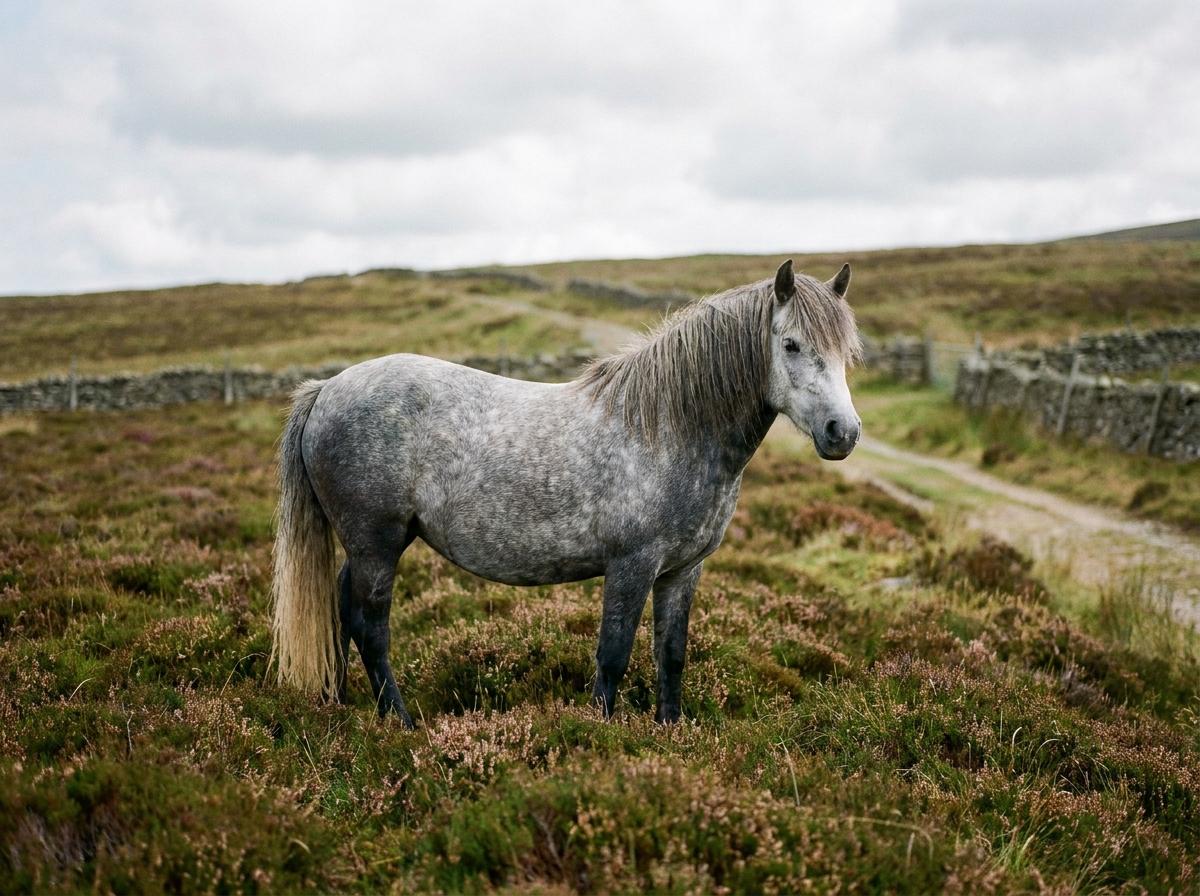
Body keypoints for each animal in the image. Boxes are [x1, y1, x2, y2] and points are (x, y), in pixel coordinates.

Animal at [270, 260, 863, 726]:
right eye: (790, 344)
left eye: (847, 352)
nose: (844, 433)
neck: (669, 428)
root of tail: (327, 389)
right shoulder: (631, 565)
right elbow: (613, 655)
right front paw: (598, 736)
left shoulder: (682, 570)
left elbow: (671, 654)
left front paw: (671, 733)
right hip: (376, 544)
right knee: (370, 627)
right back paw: (400, 722)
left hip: (369, 546)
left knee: (341, 612)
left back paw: (341, 704)